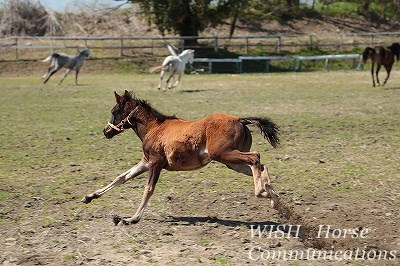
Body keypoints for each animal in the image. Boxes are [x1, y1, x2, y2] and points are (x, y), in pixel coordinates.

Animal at [82, 91, 280, 224]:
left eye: (114, 111)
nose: (106, 131)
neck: (154, 128)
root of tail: (240, 119)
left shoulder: (155, 163)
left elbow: (148, 189)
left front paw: (131, 218)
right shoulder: (146, 162)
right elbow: (121, 177)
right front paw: (89, 197)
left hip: (225, 154)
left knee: (255, 157)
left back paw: (262, 192)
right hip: (231, 162)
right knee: (261, 166)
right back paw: (274, 199)